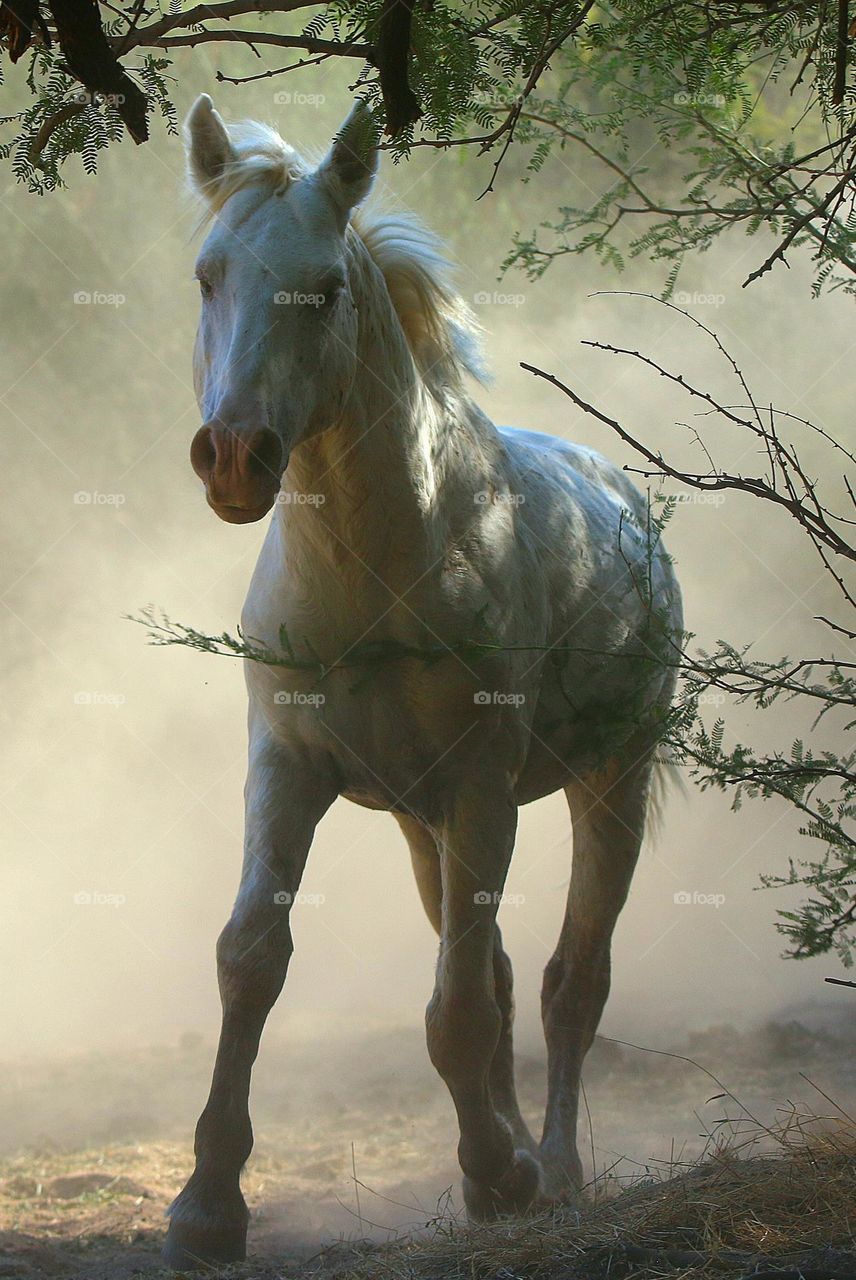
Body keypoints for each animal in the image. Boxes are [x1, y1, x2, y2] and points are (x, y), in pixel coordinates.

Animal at [163, 94, 683, 1268]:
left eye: (327, 287)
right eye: (211, 274)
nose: (233, 456)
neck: (384, 566)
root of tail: (622, 495)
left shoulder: (484, 788)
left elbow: (461, 1010)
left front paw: (500, 1175)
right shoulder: (289, 768)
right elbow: (251, 959)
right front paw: (207, 1205)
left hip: (608, 783)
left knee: (570, 983)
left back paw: (555, 1168)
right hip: (419, 822)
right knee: (498, 973)